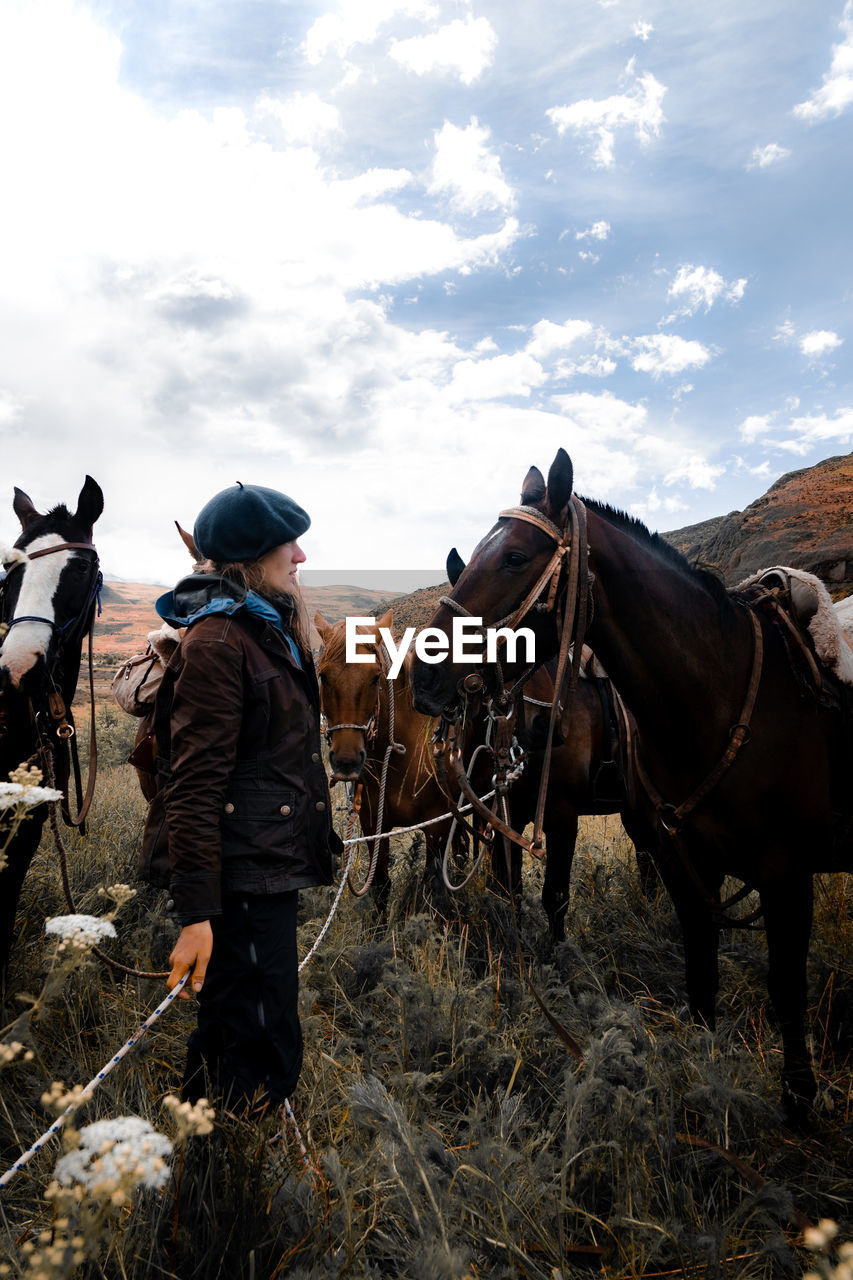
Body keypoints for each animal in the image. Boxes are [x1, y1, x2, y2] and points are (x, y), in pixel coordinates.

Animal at [409, 448, 845, 1111]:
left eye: (515, 558)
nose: (422, 677)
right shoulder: (511, 813)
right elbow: (512, 892)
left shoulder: (779, 871)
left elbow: (555, 897)